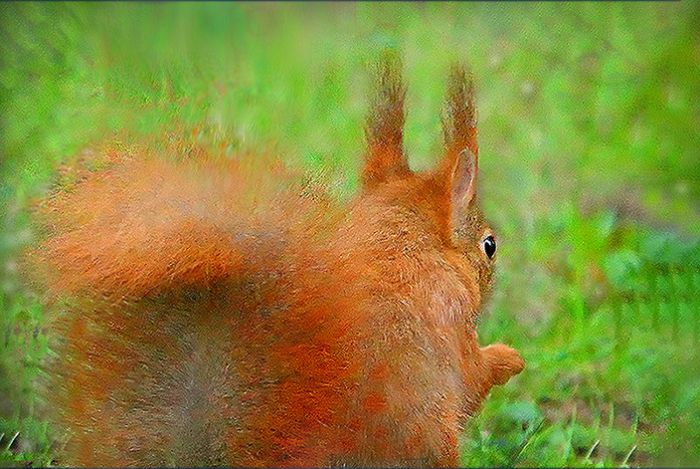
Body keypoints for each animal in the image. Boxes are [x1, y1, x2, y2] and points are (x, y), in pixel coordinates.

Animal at [26, 60, 524, 467]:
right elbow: (472, 377)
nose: (493, 272)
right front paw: (506, 358)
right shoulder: (450, 313)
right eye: (490, 245)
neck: (400, 240)